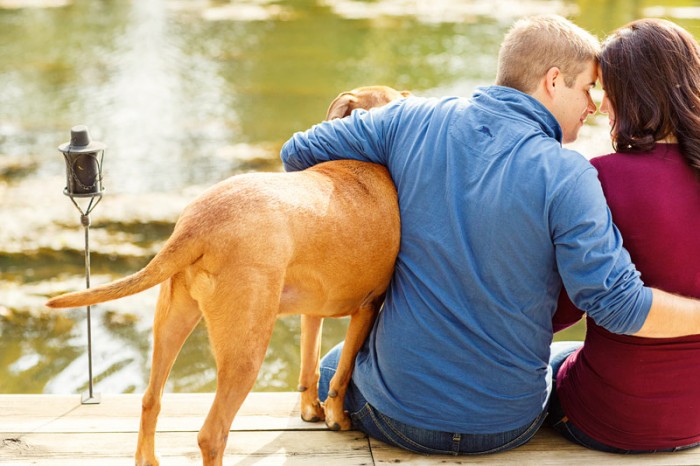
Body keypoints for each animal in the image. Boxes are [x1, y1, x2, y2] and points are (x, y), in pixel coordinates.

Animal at [46, 85, 408, 466]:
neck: (365, 164)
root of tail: (198, 224)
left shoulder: (313, 312)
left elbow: (308, 365)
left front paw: (312, 410)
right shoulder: (368, 308)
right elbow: (342, 375)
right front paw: (337, 418)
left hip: (172, 322)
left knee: (150, 399)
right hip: (246, 351)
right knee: (212, 434)